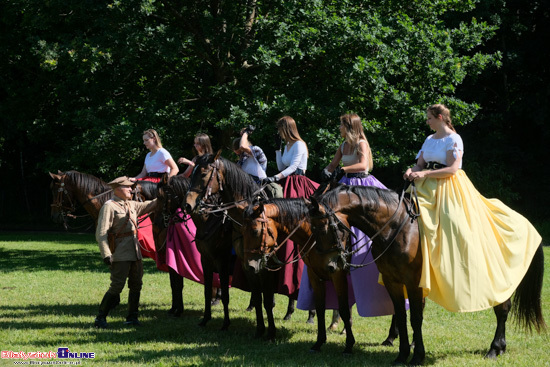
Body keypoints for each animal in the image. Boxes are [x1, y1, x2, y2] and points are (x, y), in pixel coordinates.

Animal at [155, 175, 235, 330]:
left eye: (161, 197)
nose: (160, 221)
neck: (209, 221)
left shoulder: (222, 263)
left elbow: (225, 295)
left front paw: (225, 324)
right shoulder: (205, 261)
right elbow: (205, 290)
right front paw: (205, 319)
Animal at [244, 198, 398, 356]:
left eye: (255, 231)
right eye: (243, 232)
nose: (250, 266)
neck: (314, 237)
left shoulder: (337, 274)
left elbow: (343, 308)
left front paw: (349, 345)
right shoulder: (314, 275)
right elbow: (320, 308)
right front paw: (319, 342)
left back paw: (391, 338)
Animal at [310, 185, 548, 366]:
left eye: (325, 227)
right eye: (312, 230)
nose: (331, 265)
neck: (397, 229)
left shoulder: (414, 283)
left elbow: (415, 318)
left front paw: (417, 357)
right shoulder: (392, 282)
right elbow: (401, 316)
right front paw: (402, 355)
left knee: (502, 310)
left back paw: (494, 349)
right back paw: (500, 348)